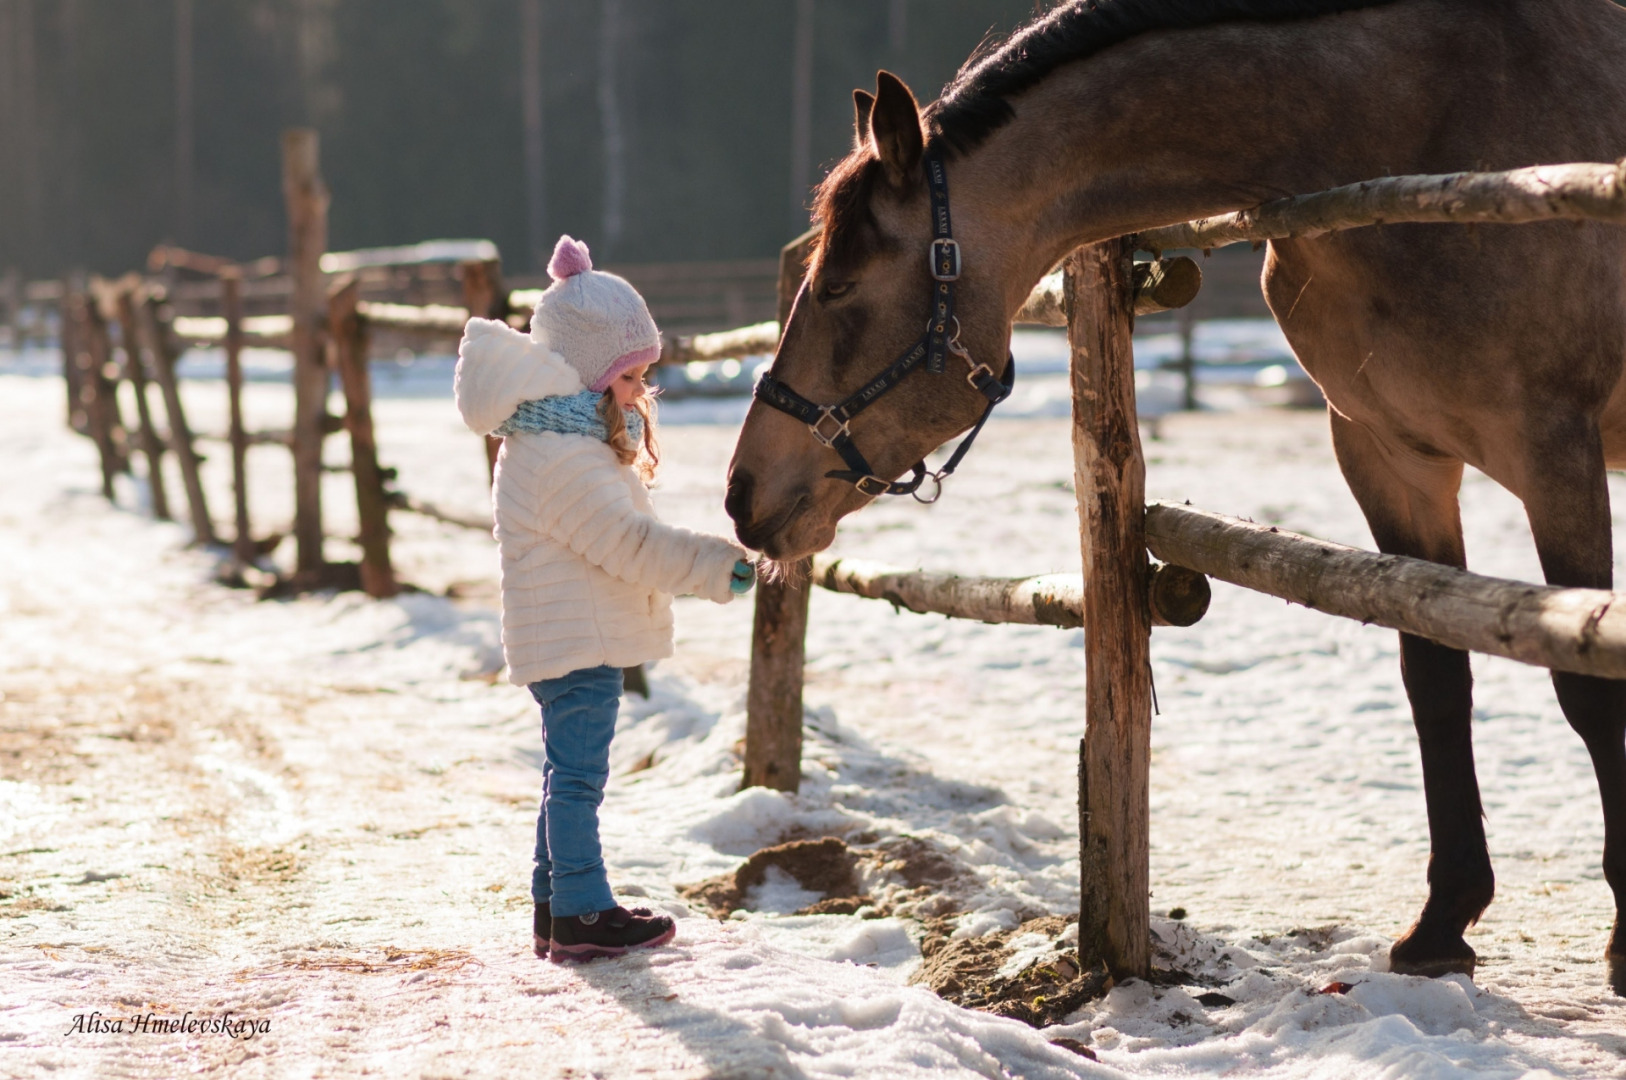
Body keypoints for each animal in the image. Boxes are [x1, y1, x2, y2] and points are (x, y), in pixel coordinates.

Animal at [725, 0, 1626, 988]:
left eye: (842, 283)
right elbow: (1434, 674)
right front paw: (1442, 922)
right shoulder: (1391, 459)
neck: (1417, 131)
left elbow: (1588, 687)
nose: (741, 492)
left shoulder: (1552, 450)